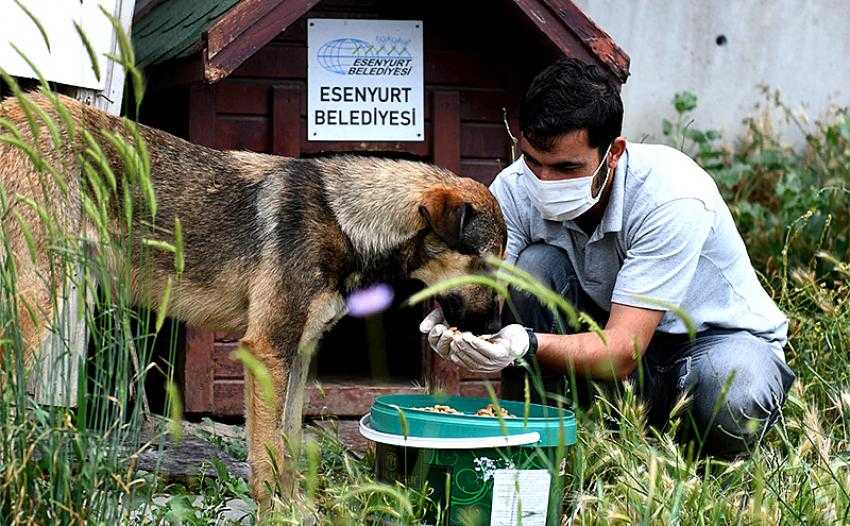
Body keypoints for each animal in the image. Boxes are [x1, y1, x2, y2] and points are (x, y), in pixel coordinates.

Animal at [0, 93, 504, 510]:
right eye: (484, 265)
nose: (491, 332)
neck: (346, 218)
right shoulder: (266, 351)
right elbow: (267, 455)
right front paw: (274, 514)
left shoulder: (296, 356)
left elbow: (289, 446)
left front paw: (296, 511)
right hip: (34, 305)